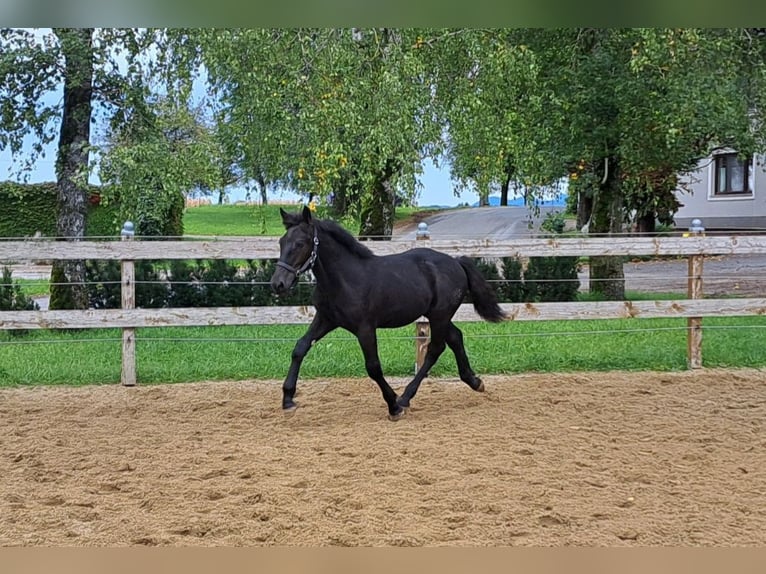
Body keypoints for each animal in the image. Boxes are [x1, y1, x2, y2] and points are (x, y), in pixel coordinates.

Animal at [272, 205, 508, 420]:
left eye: (300, 244)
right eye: (281, 242)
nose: (278, 284)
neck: (345, 279)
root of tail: (456, 262)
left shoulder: (365, 328)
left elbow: (373, 367)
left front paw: (393, 406)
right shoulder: (326, 319)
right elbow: (300, 348)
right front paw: (288, 400)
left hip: (440, 315)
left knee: (435, 348)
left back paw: (405, 398)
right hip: (436, 315)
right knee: (455, 337)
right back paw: (475, 382)